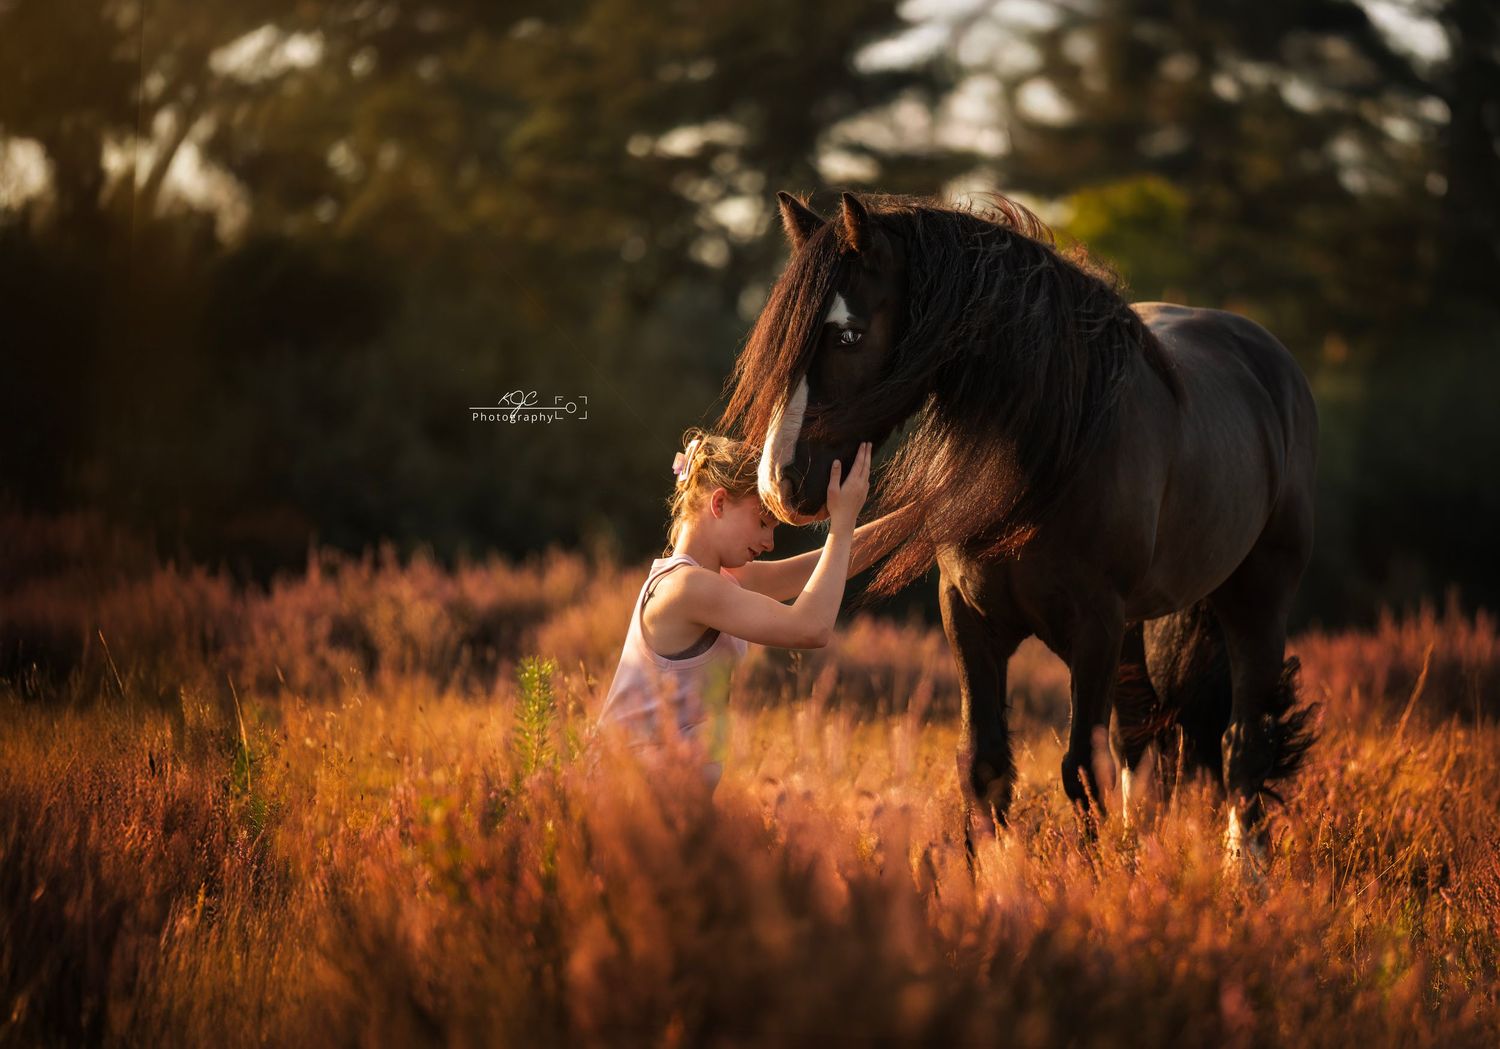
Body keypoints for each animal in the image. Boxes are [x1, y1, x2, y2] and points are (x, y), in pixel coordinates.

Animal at [717, 189, 1320, 873]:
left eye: (848, 334)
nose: (780, 483)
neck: (1053, 445)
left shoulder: (1094, 628)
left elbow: (1081, 770)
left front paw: (1096, 887)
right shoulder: (971, 617)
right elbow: (984, 768)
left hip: (1254, 603)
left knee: (1243, 740)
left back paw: (1246, 874)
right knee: (1143, 735)